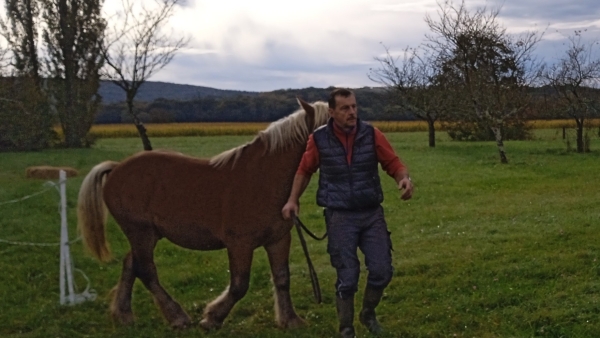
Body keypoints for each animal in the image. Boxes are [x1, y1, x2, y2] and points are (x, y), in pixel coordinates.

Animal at [77, 98, 330, 330]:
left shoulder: (278, 240)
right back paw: (176, 316)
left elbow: (282, 278)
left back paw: (123, 314)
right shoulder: (240, 243)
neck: (263, 178)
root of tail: (116, 168)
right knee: (146, 271)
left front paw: (290, 319)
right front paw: (212, 317)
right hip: (141, 233)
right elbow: (239, 285)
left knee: (131, 264)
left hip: (147, 235)